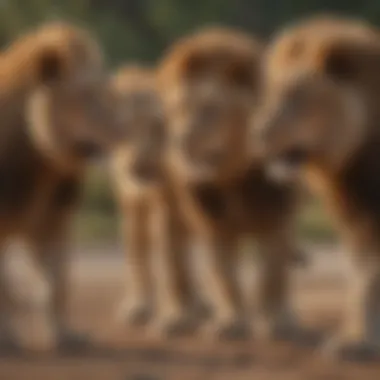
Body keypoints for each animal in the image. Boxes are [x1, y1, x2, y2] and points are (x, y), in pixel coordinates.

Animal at [0, 22, 124, 352]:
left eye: (105, 90)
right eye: (86, 94)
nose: (124, 131)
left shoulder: (54, 218)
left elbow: (58, 280)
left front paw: (65, 337)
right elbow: (6, 287)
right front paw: (9, 338)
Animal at [156, 26, 304, 340]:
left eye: (211, 109)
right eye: (178, 109)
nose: (178, 141)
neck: (234, 176)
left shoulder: (278, 213)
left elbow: (273, 274)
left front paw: (278, 324)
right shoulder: (213, 220)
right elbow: (225, 275)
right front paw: (232, 323)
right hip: (169, 206)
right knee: (176, 260)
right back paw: (179, 317)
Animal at [251, 14, 380, 360]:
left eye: (296, 98)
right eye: (270, 94)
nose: (256, 133)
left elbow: (369, 276)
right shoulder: (358, 216)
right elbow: (363, 275)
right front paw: (356, 341)